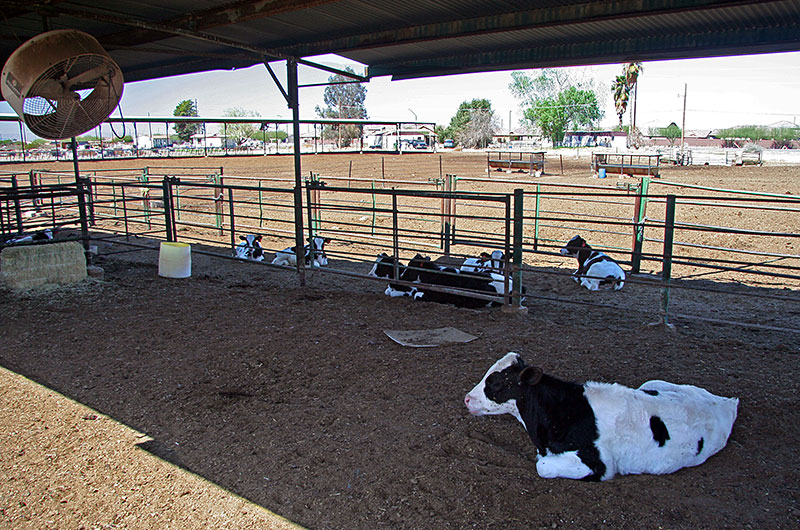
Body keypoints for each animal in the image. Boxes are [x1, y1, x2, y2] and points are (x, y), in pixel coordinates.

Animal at [466, 352, 740, 480]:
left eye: (497, 382)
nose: (467, 398)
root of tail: (726, 402)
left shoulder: (600, 464)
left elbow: (542, 466)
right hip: (653, 382)